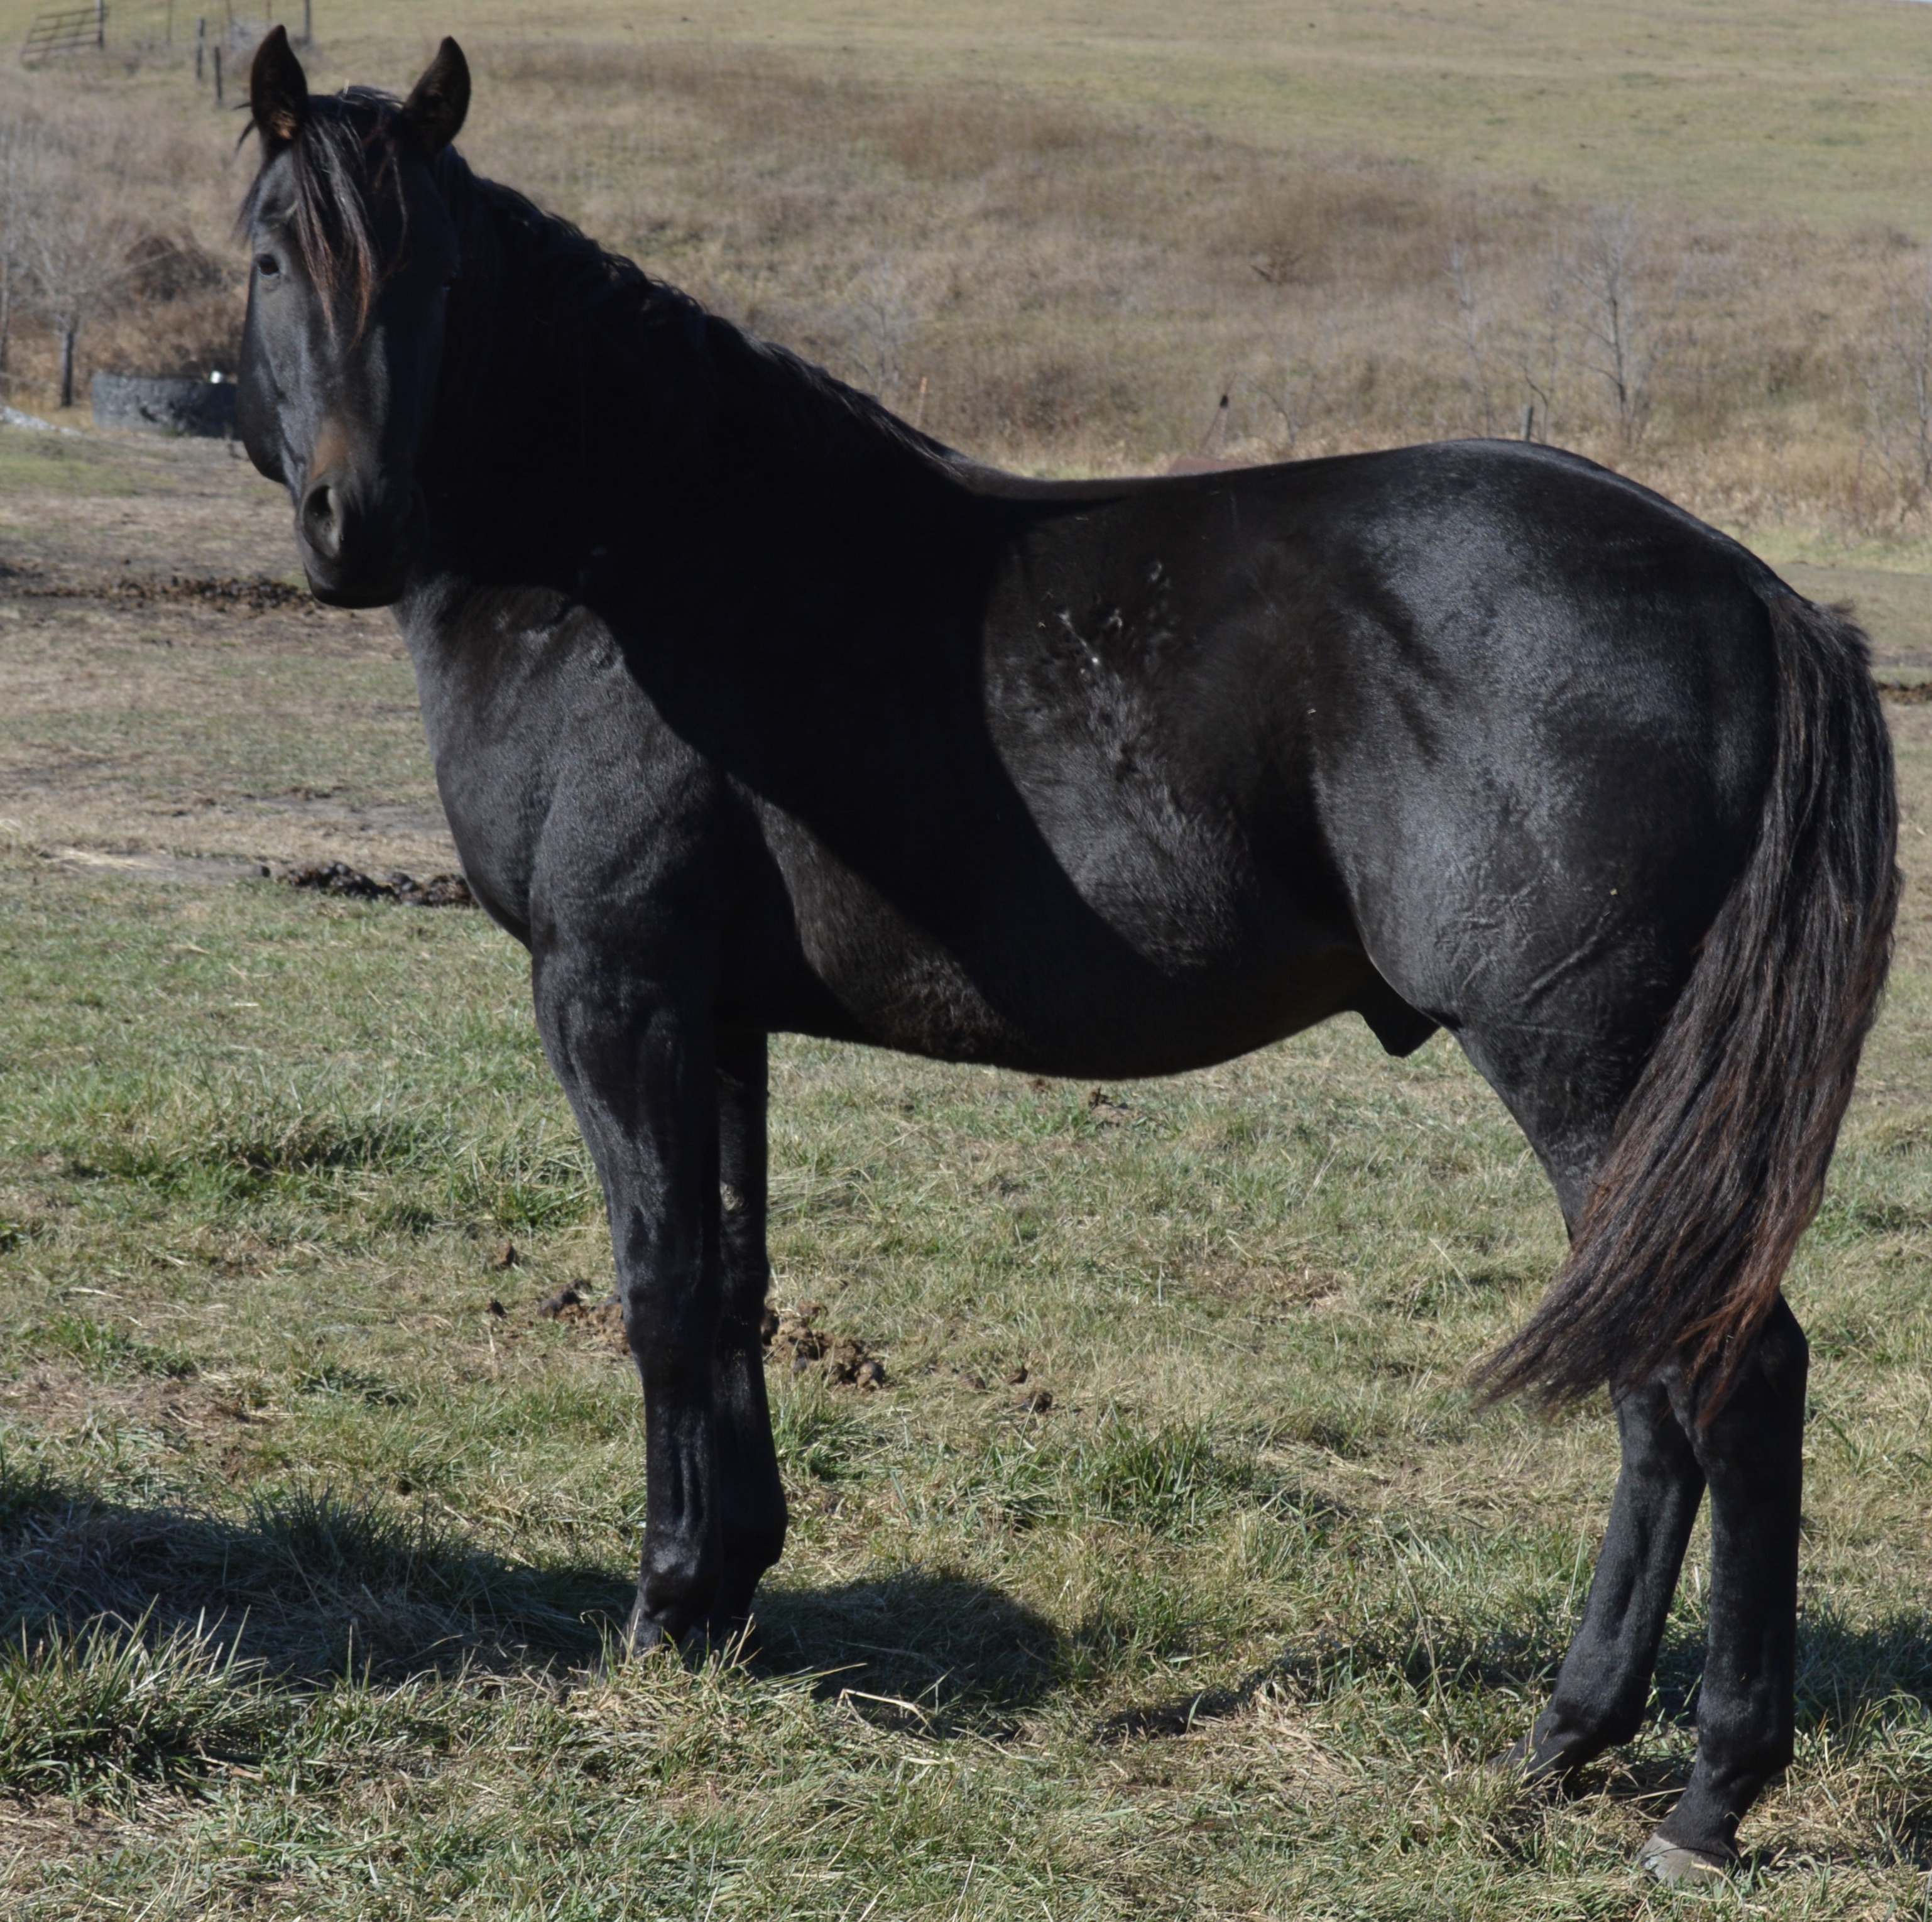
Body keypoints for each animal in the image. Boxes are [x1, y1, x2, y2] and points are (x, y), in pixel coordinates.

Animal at [236, 27, 1897, 1882]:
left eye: (439, 274)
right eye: (270, 252)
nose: (353, 525)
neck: (636, 553)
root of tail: (1749, 596)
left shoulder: (613, 992)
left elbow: (659, 1289)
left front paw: (663, 1614)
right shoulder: (718, 1020)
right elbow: (734, 1285)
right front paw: (734, 1592)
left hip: (1590, 1072)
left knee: (1723, 1376)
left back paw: (1704, 1791)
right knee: (1664, 1385)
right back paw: (1568, 1738)